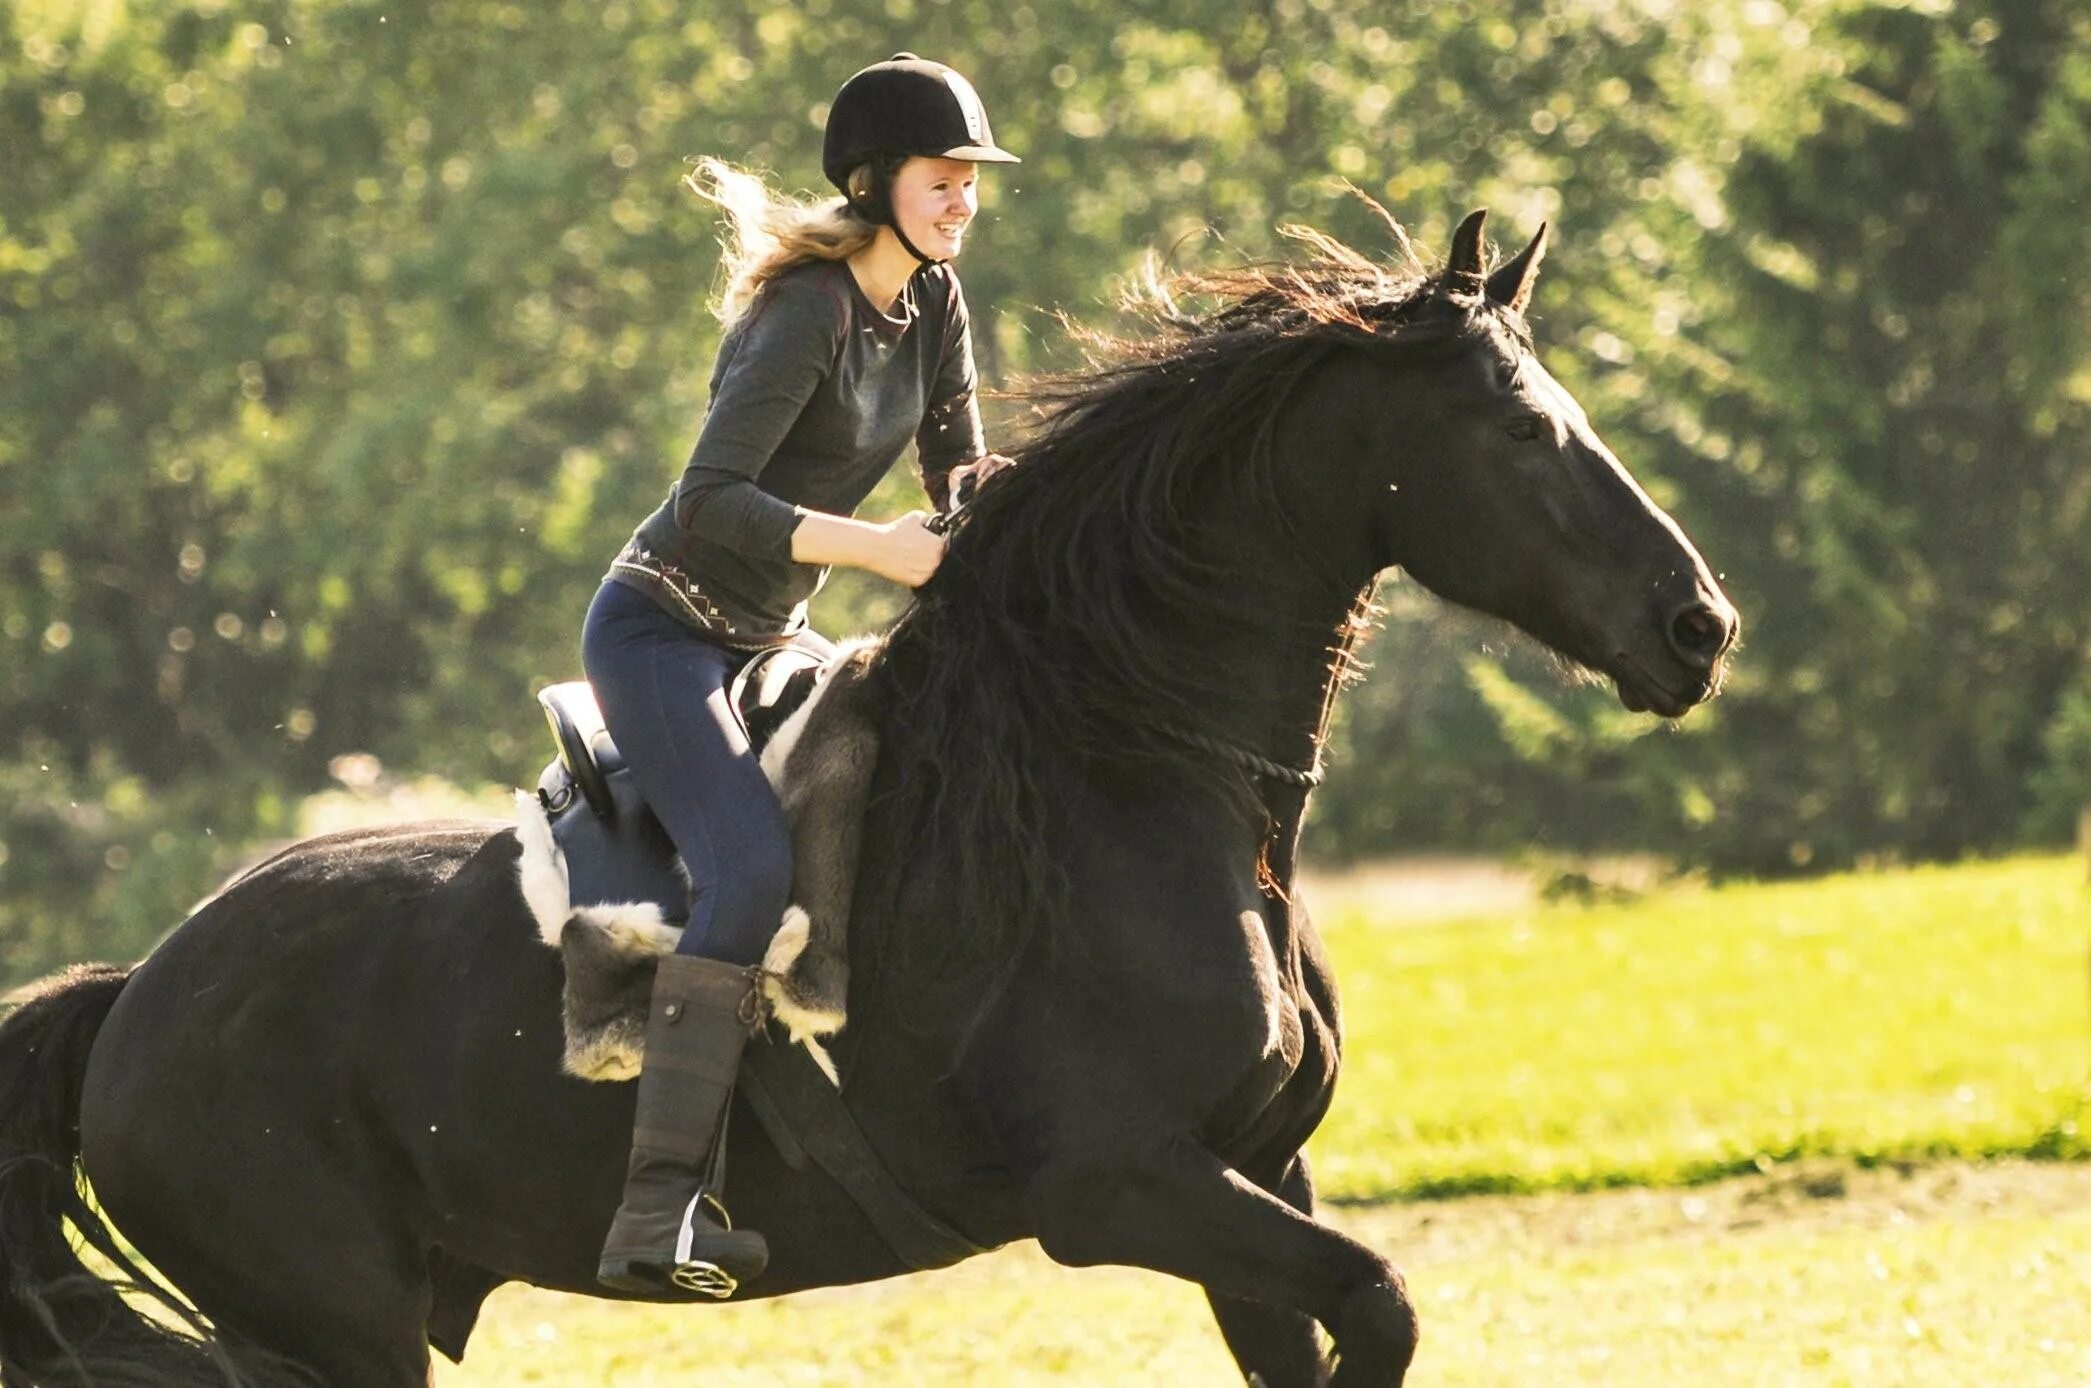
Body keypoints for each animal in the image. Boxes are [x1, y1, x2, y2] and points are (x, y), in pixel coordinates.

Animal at [0, 211, 1731, 1379]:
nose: (1694, 625)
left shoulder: (1251, 1176)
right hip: (329, 1331)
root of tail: (137, 991)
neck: (1119, 785)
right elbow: (1377, 1297)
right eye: (1518, 425)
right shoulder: (1120, 1184)